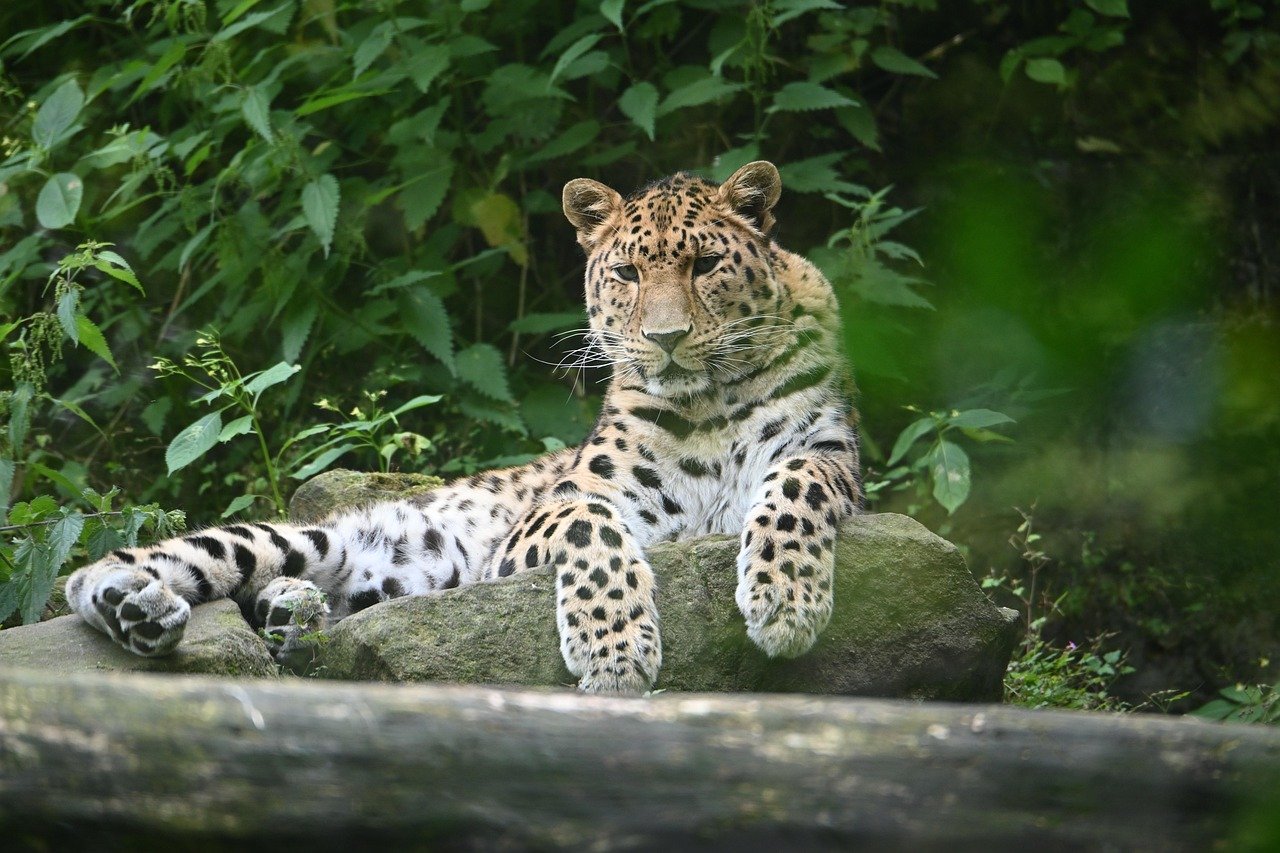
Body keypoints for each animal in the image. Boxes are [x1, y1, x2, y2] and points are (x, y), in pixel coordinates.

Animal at [65, 161, 863, 694]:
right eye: (629, 274)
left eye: (705, 265)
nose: (664, 339)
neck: (704, 410)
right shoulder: (539, 523)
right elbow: (593, 525)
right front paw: (613, 650)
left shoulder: (832, 455)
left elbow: (798, 481)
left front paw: (786, 602)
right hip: (302, 537)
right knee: (123, 566)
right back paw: (139, 605)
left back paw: (293, 615)